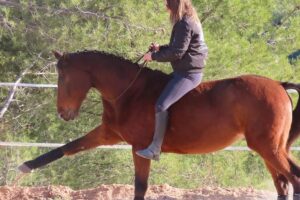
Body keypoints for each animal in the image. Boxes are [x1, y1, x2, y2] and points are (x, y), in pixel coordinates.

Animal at [18, 50, 300, 200]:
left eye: (63, 77)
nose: (63, 114)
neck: (129, 92)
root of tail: (279, 85)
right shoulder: (107, 134)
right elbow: (67, 148)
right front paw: (24, 167)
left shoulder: (139, 148)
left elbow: (140, 186)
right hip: (267, 150)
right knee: (283, 184)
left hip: (268, 147)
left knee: (294, 178)